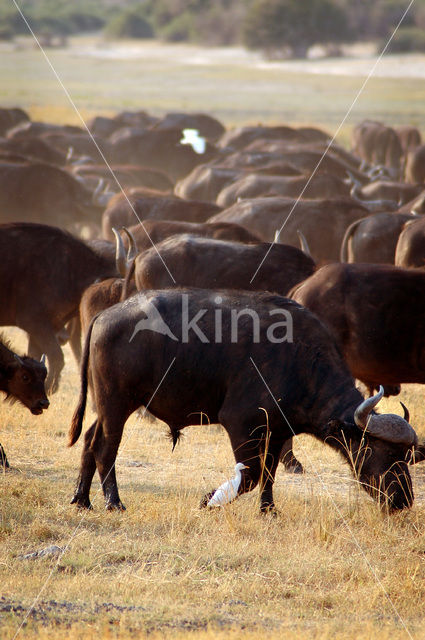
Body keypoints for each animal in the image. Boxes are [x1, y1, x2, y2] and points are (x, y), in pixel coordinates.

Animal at [69, 290, 418, 516]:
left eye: (406, 456)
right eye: (381, 451)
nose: (403, 500)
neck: (299, 359)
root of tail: (105, 315)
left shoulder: (277, 432)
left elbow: (269, 474)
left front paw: (269, 511)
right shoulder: (240, 424)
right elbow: (249, 475)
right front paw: (209, 500)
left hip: (106, 407)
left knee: (88, 440)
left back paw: (82, 499)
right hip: (117, 404)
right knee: (105, 448)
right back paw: (114, 503)